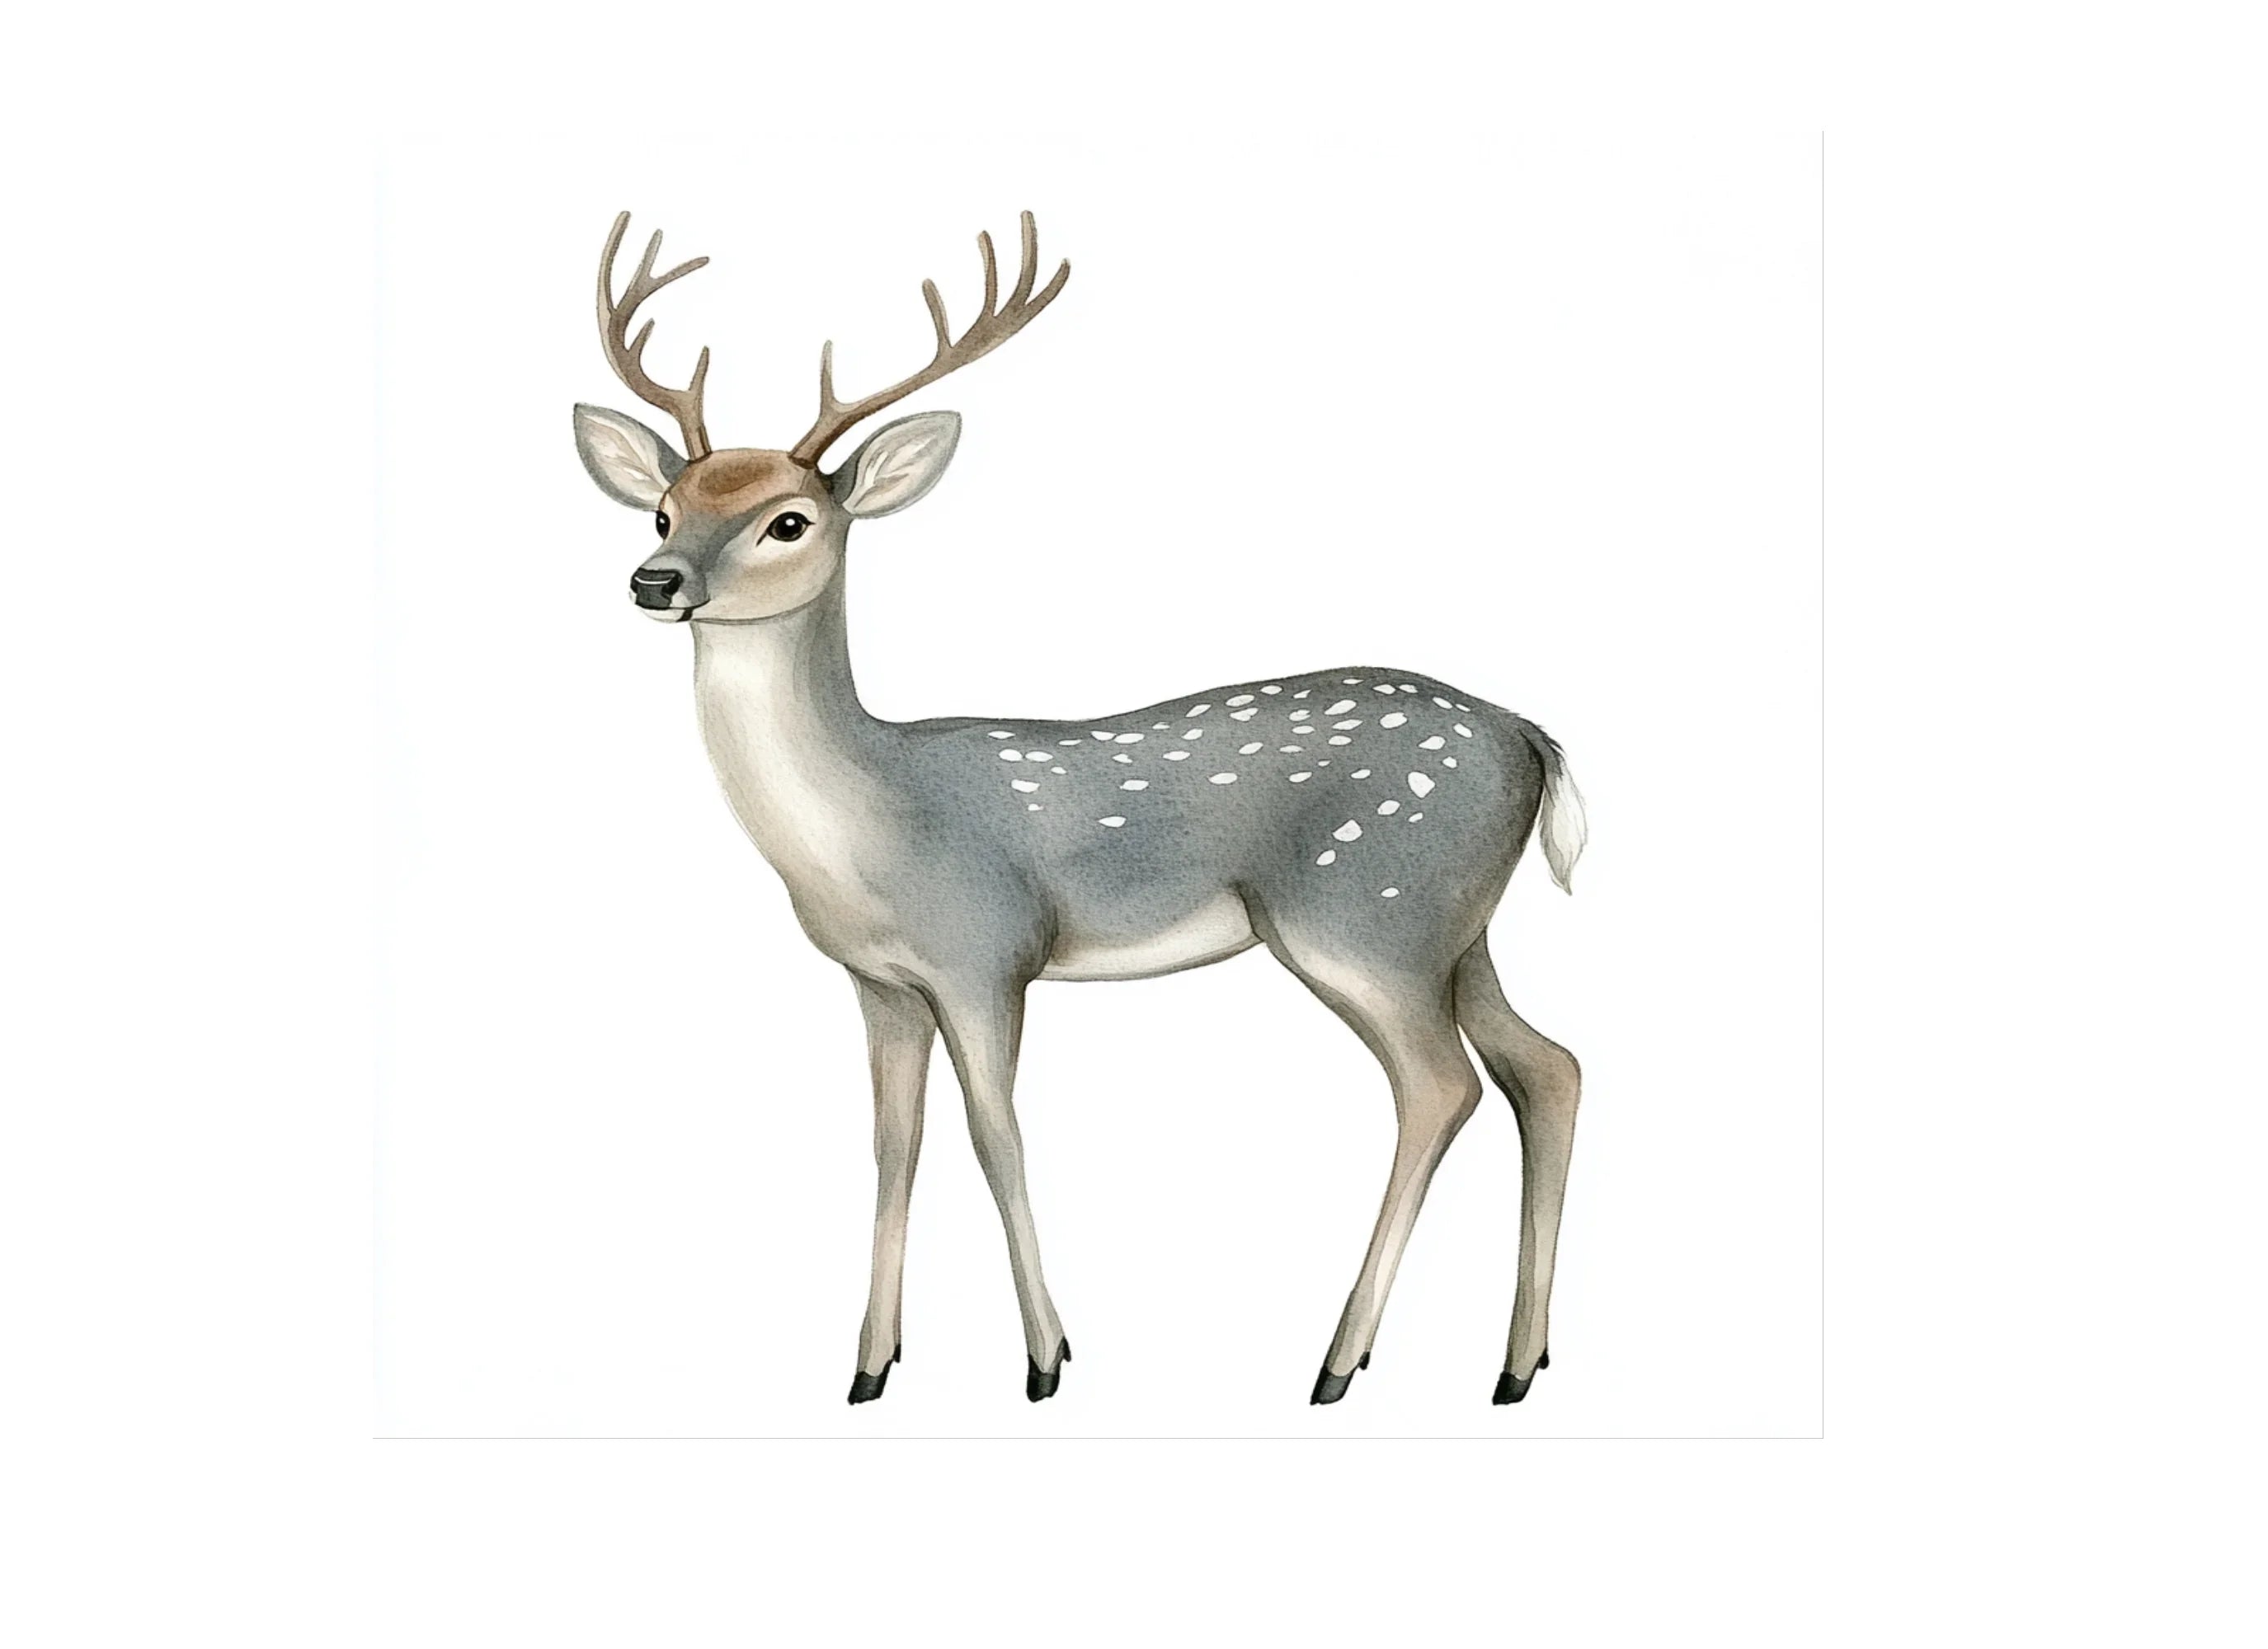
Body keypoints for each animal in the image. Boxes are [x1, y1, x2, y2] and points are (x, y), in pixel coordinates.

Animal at [572, 211, 1587, 1408]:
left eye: (788, 520)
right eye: (662, 507)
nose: (654, 580)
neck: (870, 827)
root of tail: (1529, 734)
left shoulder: (985, 953)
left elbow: (995, 1135)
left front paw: (1046, 1358)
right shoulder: (879, 981)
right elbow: (893, 1144)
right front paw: (870, 1367)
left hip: (1363, 912)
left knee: (1440, 1087)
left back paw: (1338, 1361)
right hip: (1452, 925)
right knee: (1546, 1068)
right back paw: (1515, 1364)